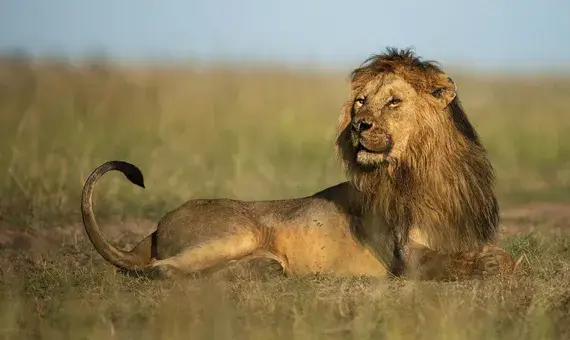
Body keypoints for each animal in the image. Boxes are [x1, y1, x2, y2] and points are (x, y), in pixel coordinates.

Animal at [81, 48, 516, 282]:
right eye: (361, 101)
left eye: (393, 101)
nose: (359, 125)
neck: (424, 166)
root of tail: (156, 227)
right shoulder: (406, 257)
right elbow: (460, 261)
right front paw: (492, 264)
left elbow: (481, 251)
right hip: (237, 230)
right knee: (162, 268)